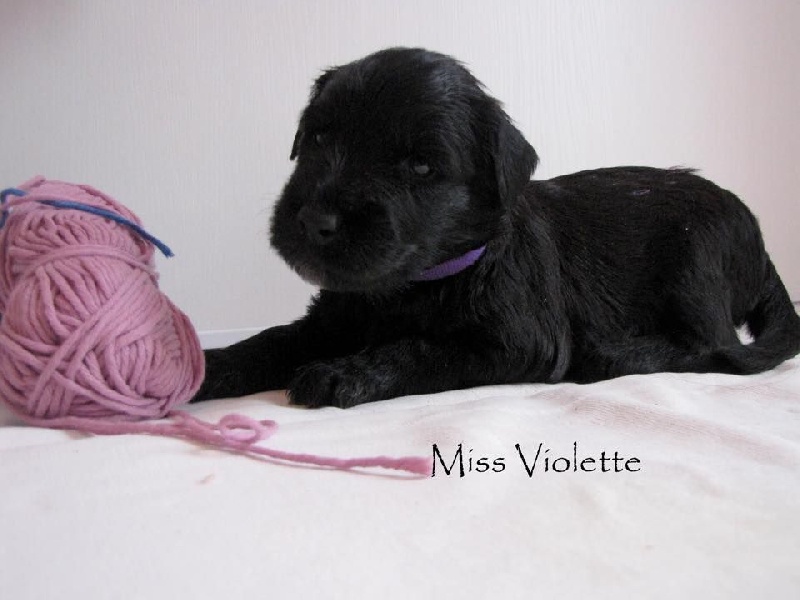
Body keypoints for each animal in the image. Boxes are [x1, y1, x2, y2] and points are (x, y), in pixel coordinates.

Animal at [193, 47, 800, 408]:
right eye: (318, 137)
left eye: (420, 167)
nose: (315, 220)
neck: (413, 285)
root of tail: (763, 249)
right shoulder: (331, 319)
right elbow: (271, 340)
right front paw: (203, 365)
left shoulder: (515, 341)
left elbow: (418, 350)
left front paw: (345, 372)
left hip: (695, 262)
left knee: (714, 348)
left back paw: (611, 354)